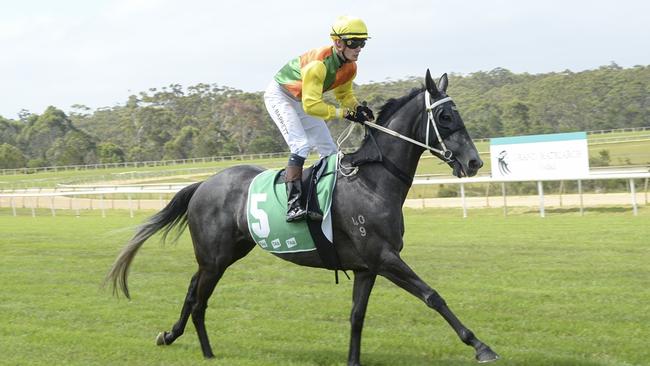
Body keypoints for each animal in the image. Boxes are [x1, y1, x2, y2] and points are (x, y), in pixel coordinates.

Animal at [107, 70, 502, 364]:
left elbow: (357, 316)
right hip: (214, 257)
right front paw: (481, 346)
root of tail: (204, 183)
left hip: (225, 253)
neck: (373, 181)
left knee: (192, 291)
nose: (473, 162)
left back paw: (172, 336)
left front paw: (353, 359)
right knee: (199, 298)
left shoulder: (367, 266)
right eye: (446, 117)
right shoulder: (384, 257)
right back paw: (205, 350)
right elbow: (433, 296)